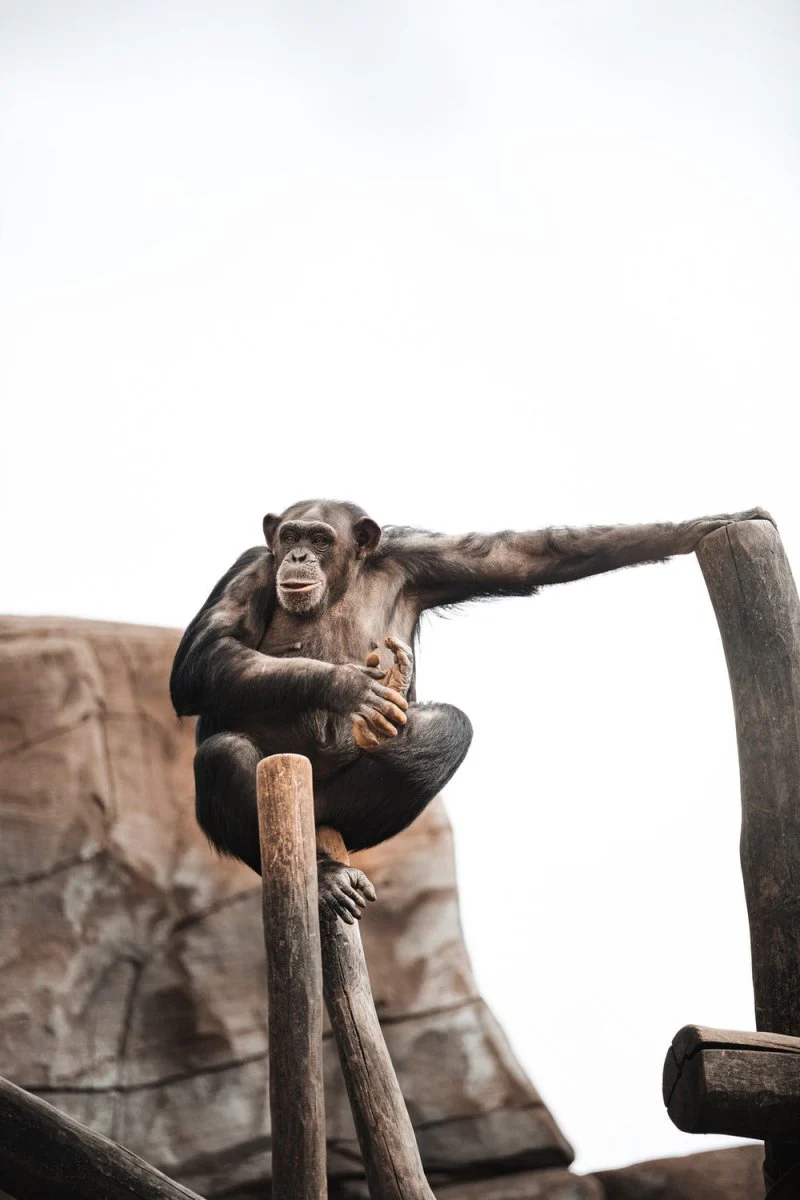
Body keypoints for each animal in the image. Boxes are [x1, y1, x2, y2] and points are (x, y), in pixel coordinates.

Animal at [170, 500, 771, 923]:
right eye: (291, 536)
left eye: (320, 539)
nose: (297, 556)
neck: (343, 582)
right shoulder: (250, 568)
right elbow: (201, 659)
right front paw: (349, 687)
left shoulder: (424, 558)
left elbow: (522, 554)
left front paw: (707, 523)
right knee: (225, 753)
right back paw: (324, 880)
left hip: (342, 814)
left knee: (451, 726)